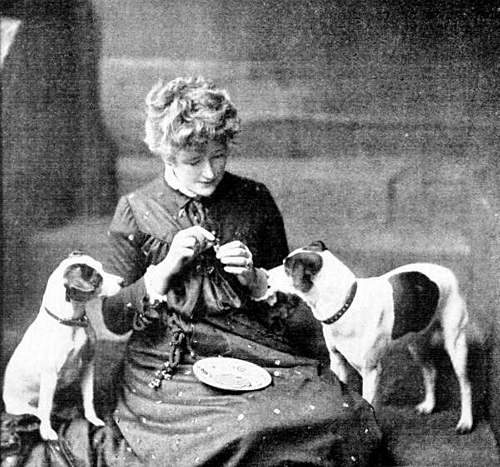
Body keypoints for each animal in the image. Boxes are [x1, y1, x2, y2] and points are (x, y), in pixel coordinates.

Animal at [2, 252, 123, 438]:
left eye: (102, 268)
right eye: (98, 277)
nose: (123, 281)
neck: (72, 323)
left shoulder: (88, 365)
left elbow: (88, 397)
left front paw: (93, 419)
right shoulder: (50, 376)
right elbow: (45, 407)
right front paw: (47, 432)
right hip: (23, 407)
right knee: (39, 411)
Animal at [262, 241, 472, 436]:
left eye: (286, 268)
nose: (264, 274)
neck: (346, 305)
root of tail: (446, 271)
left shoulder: (371, 372)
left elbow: (370, 405)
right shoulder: (337, 361)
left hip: (455, 343)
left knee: (466, 384)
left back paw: (466, 421)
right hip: (416, 343)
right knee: (430, 371)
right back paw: (429, 405)